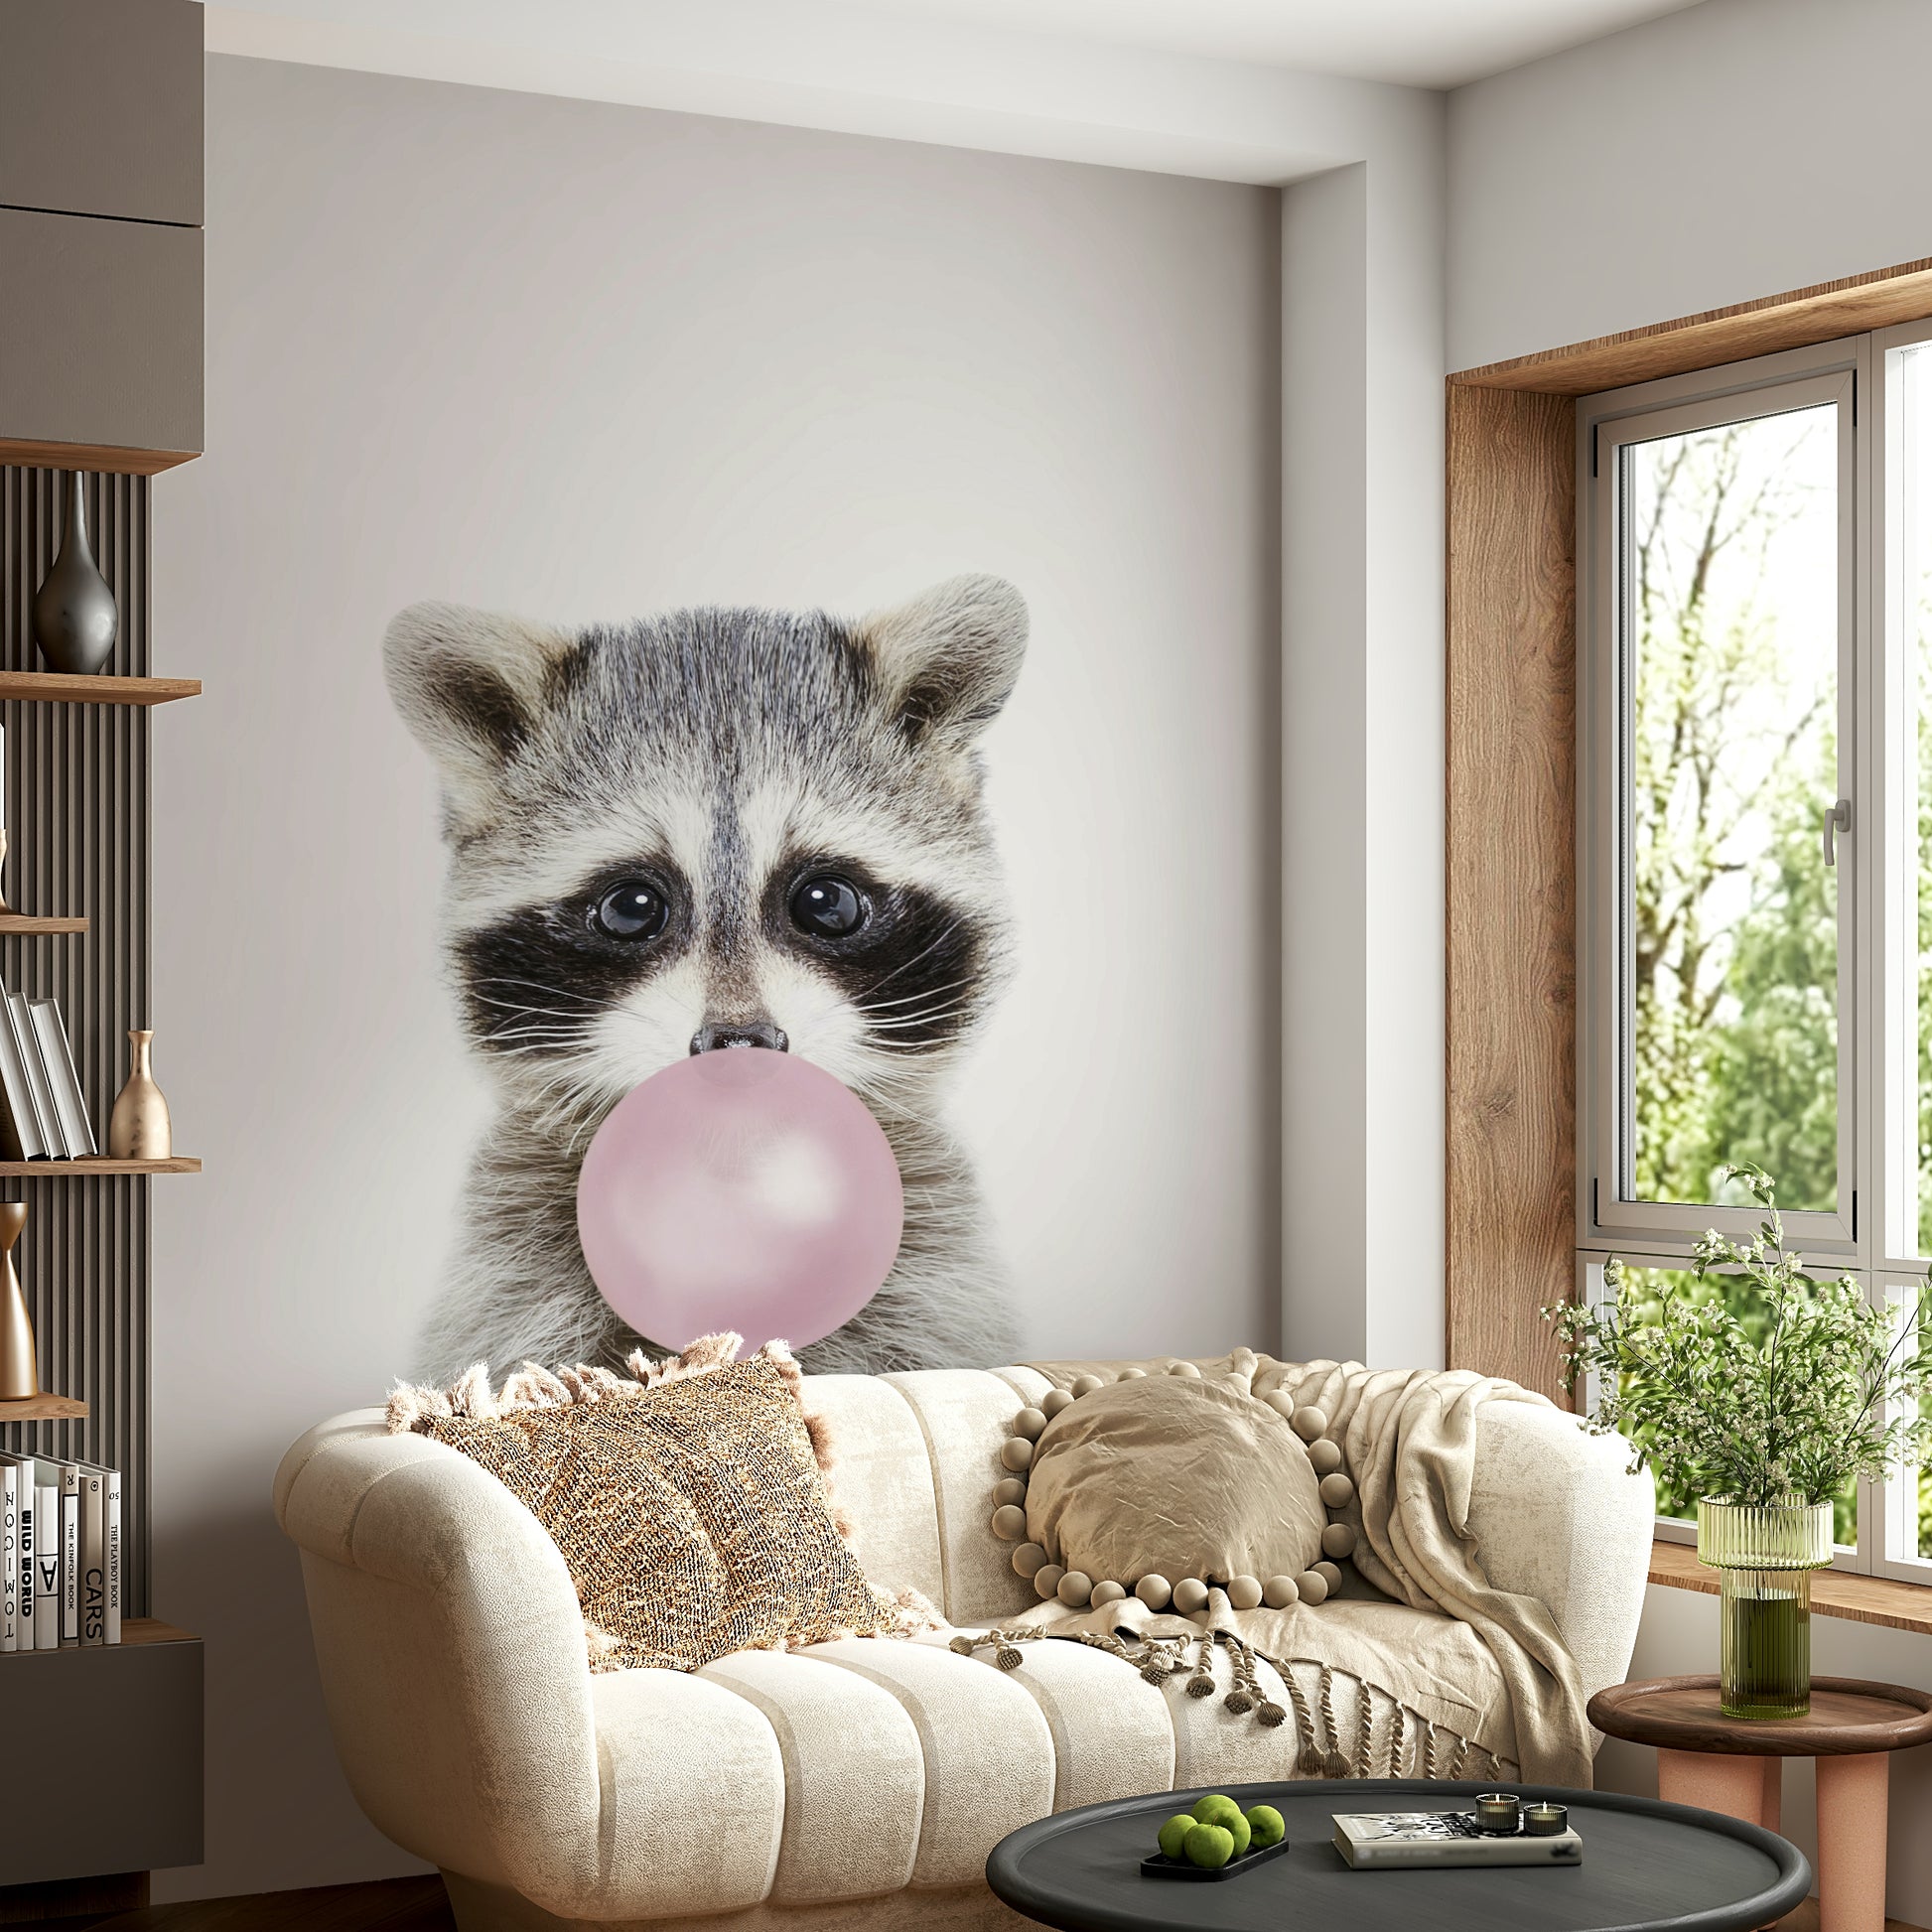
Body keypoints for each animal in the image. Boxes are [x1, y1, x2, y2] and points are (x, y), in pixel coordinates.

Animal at [384, 574, 1027, 1381]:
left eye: (827, 901)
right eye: (631, 907)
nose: (740, 1044)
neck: (732, 1188)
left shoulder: (931, 1272)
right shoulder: (519, 1269)